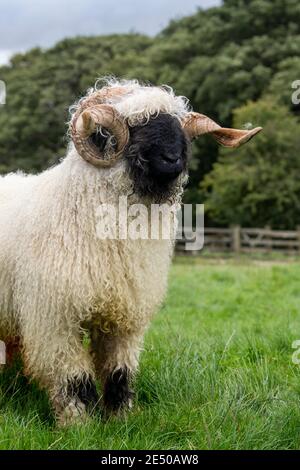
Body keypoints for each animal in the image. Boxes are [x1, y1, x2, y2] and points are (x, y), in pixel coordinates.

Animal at [0, 79, 260, 424]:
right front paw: (78, 423)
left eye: (178, 125)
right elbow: (72, 376)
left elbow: (119, 371)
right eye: (135, 125)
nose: (172, 158)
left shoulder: (125, 317)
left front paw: (121, 418)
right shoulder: (55, 318)